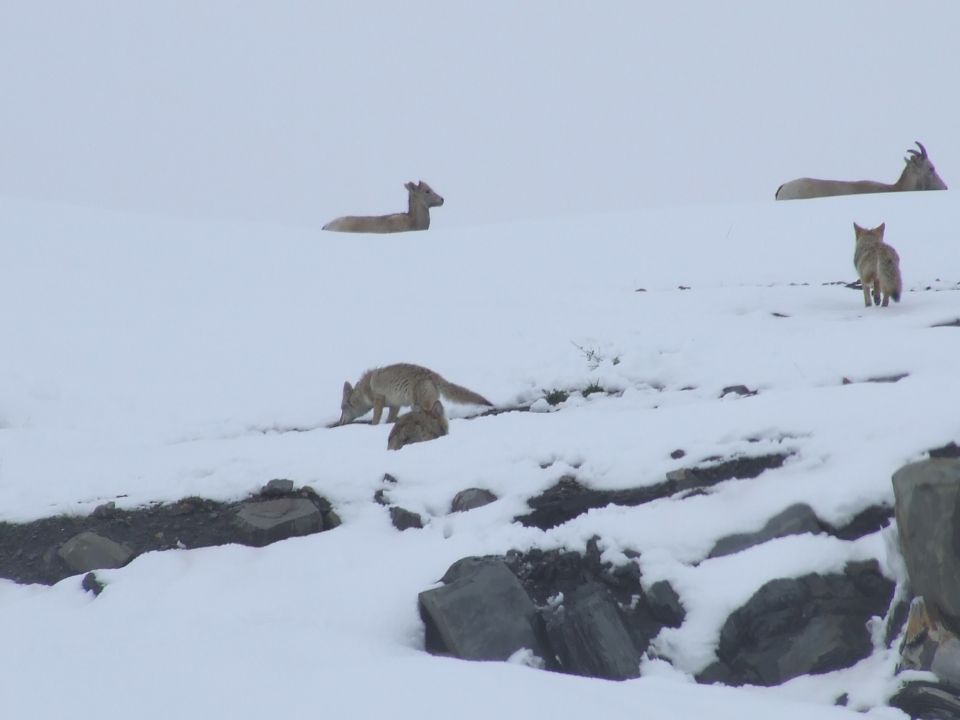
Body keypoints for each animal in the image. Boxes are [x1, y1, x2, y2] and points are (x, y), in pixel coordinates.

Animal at [338, 363, 493, 426]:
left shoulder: (379, 400)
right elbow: (389, 420)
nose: (340, 422)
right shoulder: (395, 406)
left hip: (421, 405)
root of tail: (434, 375)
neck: (364, 390)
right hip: (416, 405)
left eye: (343, 407)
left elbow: (375, 420)